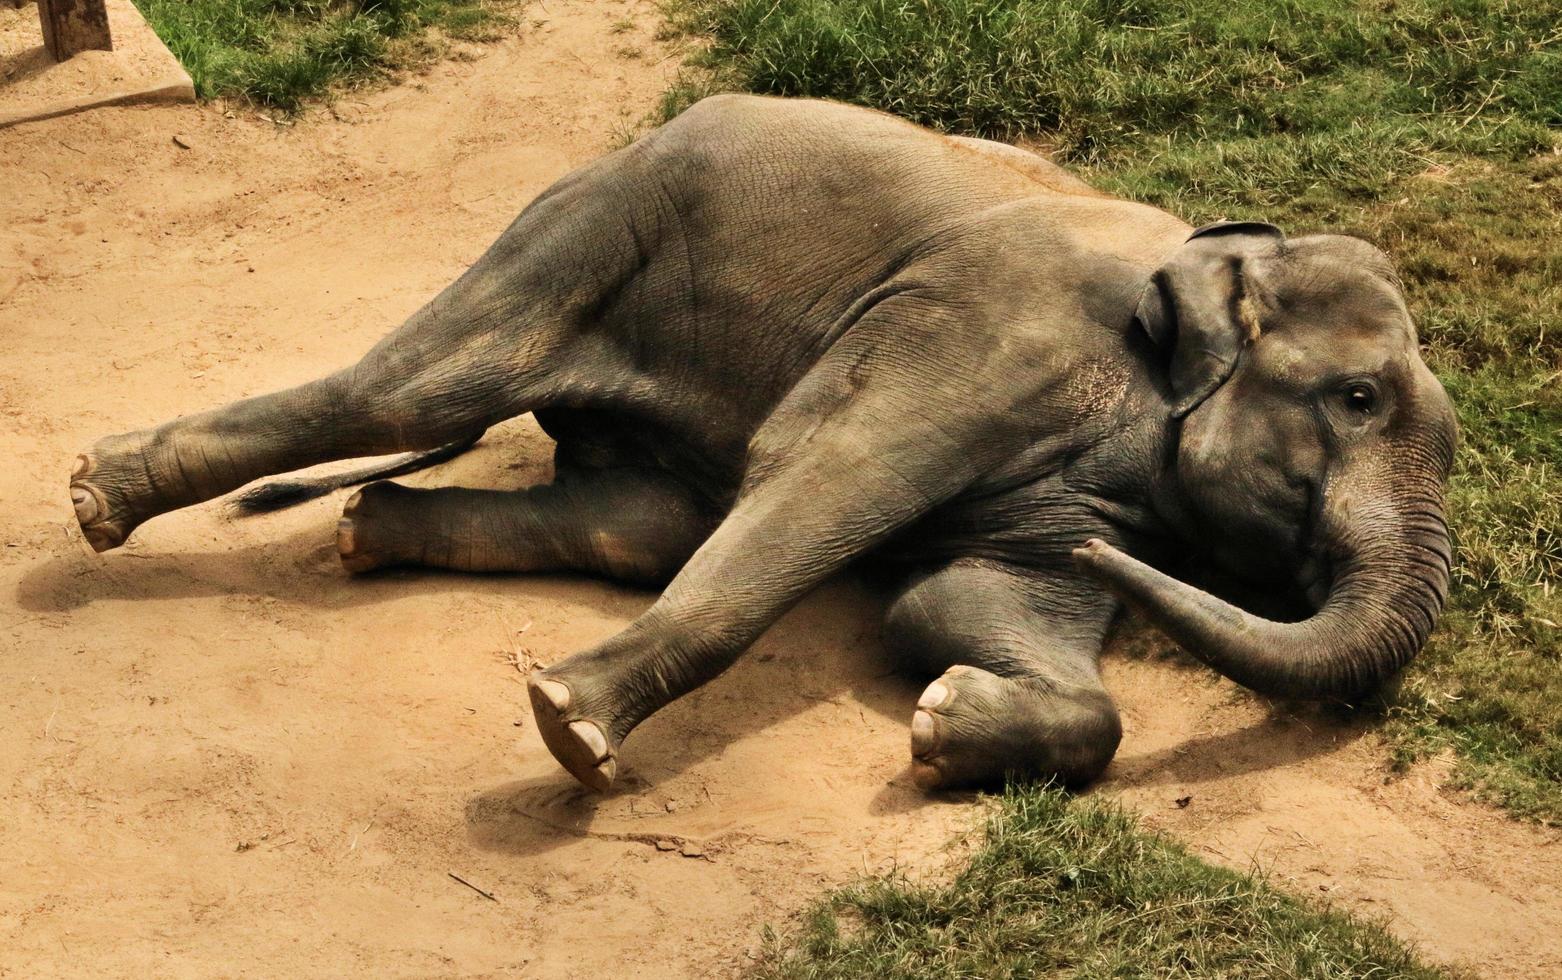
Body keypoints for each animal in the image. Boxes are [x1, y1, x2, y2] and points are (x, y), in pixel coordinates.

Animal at [67, 95, 1455, 794]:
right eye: (1356, 400)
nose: (1136, 571)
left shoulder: (1082, 484)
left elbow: (958, 599)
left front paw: (943, 722)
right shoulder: (981, 330)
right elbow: (824, 481)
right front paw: (569, 729)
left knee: (639, 520)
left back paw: (367, 532)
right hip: (595, 225)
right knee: (416, 396)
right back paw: (94, 498)